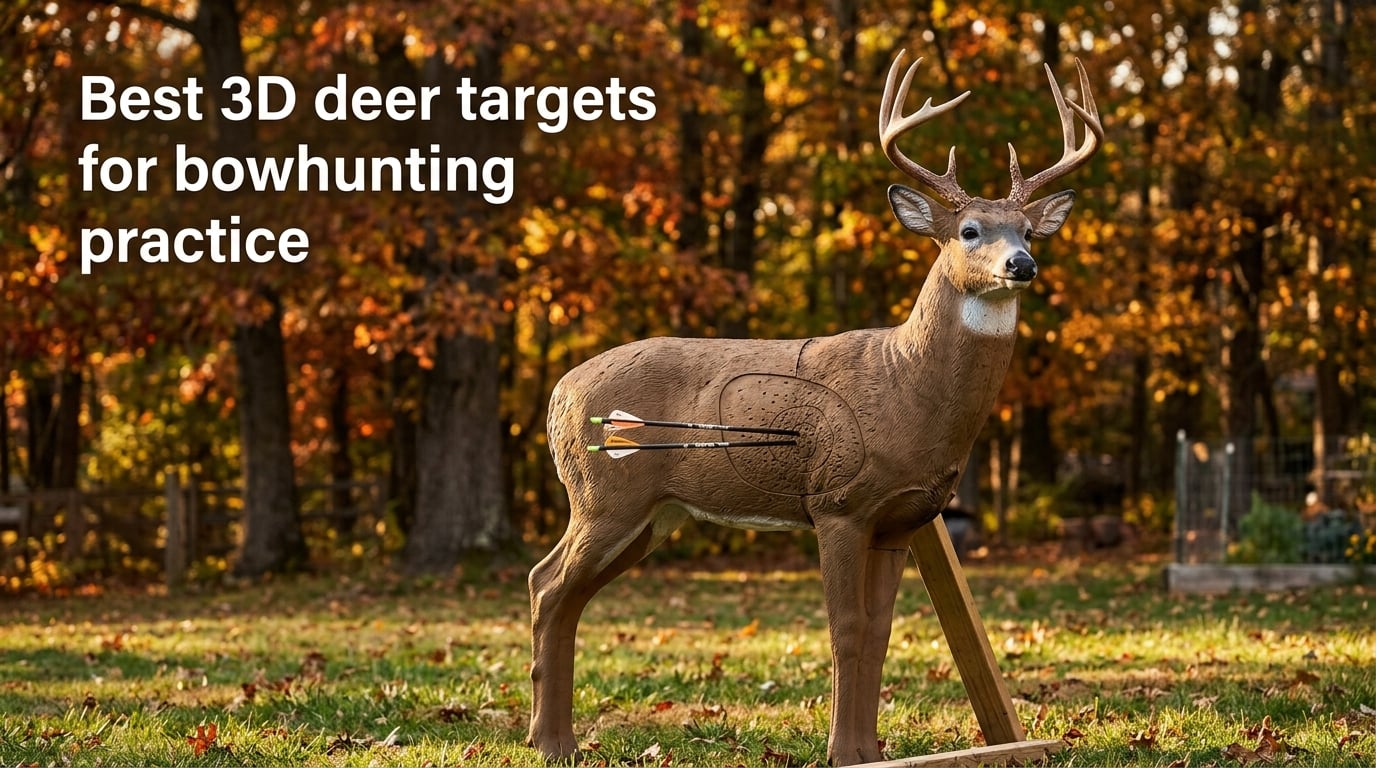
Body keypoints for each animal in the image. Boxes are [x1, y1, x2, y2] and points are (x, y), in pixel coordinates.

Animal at [527, 50, 1102, 766]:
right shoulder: (837, 502)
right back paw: (553, 742)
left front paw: (871, 749)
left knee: (557, 589)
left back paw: (552, 737)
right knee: (548, 585)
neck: (905, 384)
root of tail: (558, 392)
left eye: (1027, 230)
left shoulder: (902, 519)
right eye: (969, 230)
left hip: (652, 513)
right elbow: (846, 626)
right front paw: (844, 751)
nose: (1021, 264)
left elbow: (881, 630)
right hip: (605, 494)